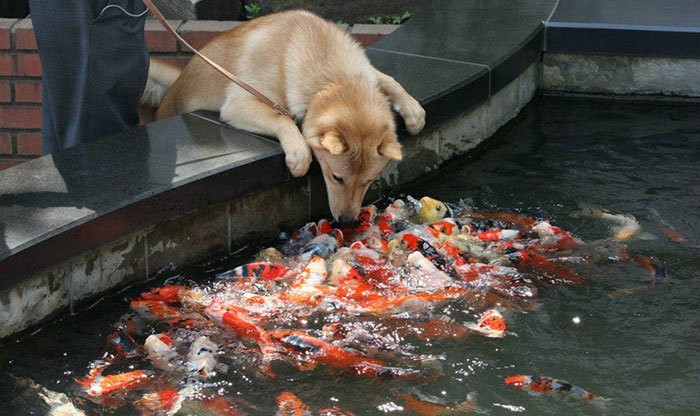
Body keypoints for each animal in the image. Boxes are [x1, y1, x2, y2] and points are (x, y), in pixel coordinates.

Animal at [142, 8, 424, 221]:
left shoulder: (363, 72)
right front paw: (299, 154)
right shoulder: (239, 102)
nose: (346, 221)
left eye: (369, 181)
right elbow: (282, 117)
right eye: (337, 178)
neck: (333, 80)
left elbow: (387, 79)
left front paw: (413, 110)